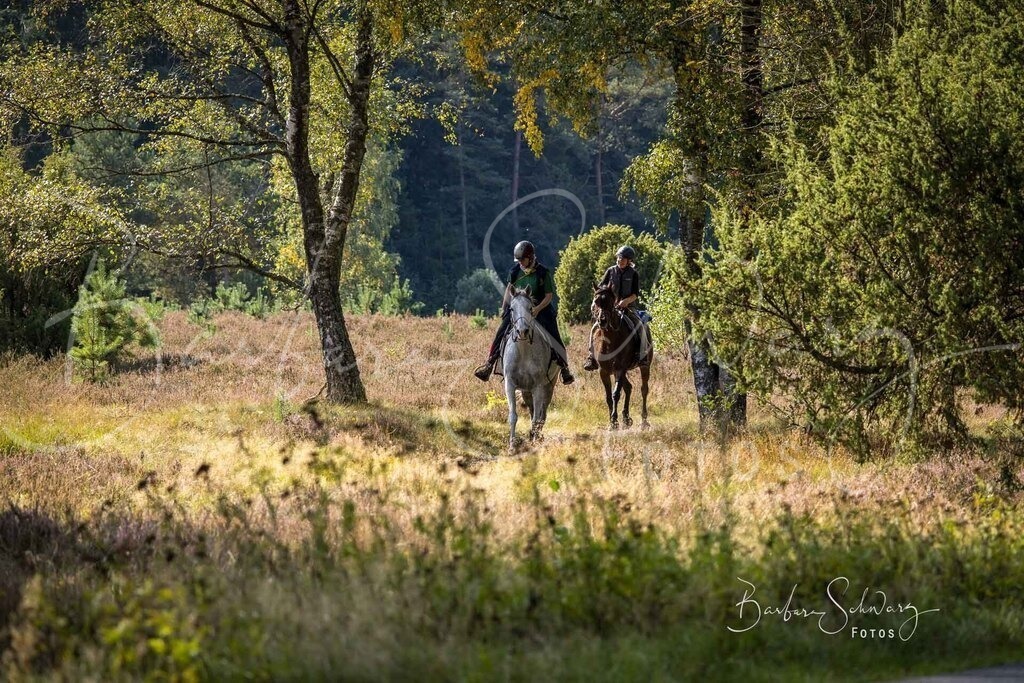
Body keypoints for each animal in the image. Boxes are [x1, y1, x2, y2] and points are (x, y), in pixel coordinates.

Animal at [502, 287, 558, 452]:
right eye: (512, 308)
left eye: (530, 308)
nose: (522, 331)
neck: (524, 351)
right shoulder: (510, 384)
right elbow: (513, 416)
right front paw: (512, 446)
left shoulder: (538, 386)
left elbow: (536, 418)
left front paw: (534, 443)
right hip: (526, 391)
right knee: (533, 409)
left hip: (549, 386)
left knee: (542, 414)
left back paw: (537, 437)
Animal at [591, 283, 652, 430]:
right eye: (596, 301)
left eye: (610, 301)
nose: (602, 321)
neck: (610, 340)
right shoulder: (604, 371)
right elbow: (608, 396)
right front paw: (612, 422)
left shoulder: (620, 369)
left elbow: (616, 394)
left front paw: (614, 421)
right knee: (629, 388)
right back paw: (626, 419)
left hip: (644, 366)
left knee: (644, 389)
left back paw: (644, 421)